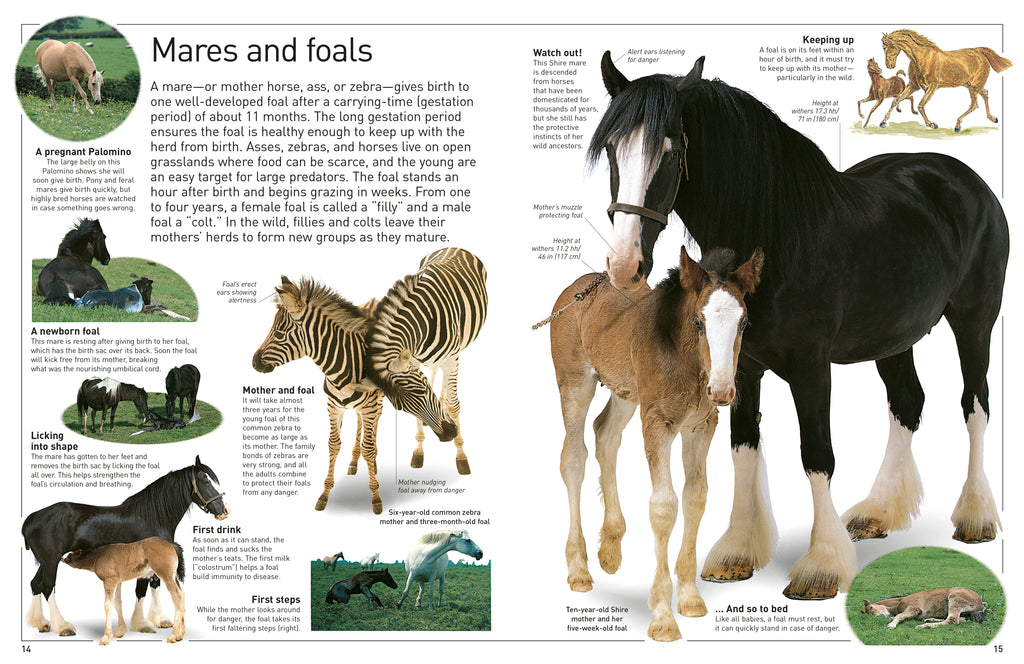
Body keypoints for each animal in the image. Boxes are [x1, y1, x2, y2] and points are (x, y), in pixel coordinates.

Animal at [23, 456, 227, 638]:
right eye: (204, 480)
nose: (223, 511)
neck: (151, 516)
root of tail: (31, 519)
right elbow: (141, 591)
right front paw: (142, 624)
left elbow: (155, 586)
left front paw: (160, 620)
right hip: (51, 561)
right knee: (48, 587)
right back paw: (62, 627)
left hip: (46, 562)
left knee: (36, 584)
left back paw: (42, 623)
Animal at [551, 247, 762, 641]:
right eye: (698, 322)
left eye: (743, 324)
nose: (722, 390)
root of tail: (577, 287)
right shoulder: (657, 423)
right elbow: (664, 506)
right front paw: (663, 617)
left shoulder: (701, 426)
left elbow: (696, 497)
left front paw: (691, 598)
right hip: (575, 382)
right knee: (573, 458)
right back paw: (579, 570)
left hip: (627, 391)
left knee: (605, 433)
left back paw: (611, 549)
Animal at [588, 53, 1007, 603]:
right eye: (612, 149)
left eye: (672, 149)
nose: (624, 265)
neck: (776, 229)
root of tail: (966, 179)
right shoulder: (742, 367)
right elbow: (743, 446)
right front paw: (737, 552)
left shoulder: (811, 368)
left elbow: (817, 455)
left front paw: (821, 566)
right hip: (894, 335)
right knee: (907, 403)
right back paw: (878, 512)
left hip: (975, 321)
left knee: (975, 405)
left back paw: (976, 517)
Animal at [878, 29, 1012, 131]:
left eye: (886, 47)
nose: (889, 66)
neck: (921, 58)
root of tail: (979, 51)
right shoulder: (913, 85)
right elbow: (895, 101)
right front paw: (883, 122)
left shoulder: (932, 86)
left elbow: (920, 105)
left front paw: (931, 124)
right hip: (970, 85)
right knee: (984, 94)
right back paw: (992, 118)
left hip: (974, 86)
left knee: (974, 104)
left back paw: (957, 125)